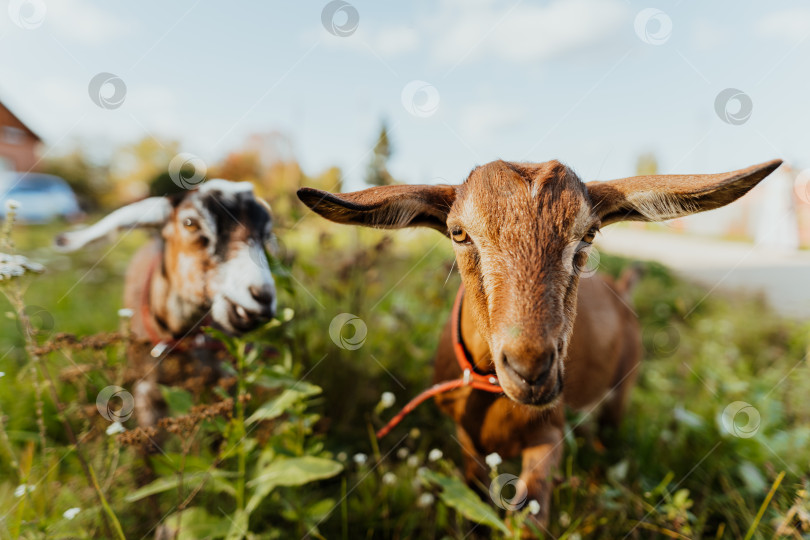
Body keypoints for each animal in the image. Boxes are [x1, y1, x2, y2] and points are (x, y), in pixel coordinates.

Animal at [298, 158, 784, 532]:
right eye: (459, 233)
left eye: (588, 234)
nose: (530, 369)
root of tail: (622, 291)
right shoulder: (467, 441)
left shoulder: (548, 437)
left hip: (619, 396)